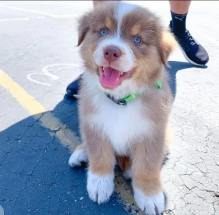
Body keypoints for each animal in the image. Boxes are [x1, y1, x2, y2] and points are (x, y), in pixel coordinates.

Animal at [69, 2, 175, 215]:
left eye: (137, 39)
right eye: (103, 31)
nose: (111, 51)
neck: (120, 100)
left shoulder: (154, 133)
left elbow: (147, 166)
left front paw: (150, 195)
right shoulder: (93, 124)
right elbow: (99, 156)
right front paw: (99, 184)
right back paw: (81, 152)